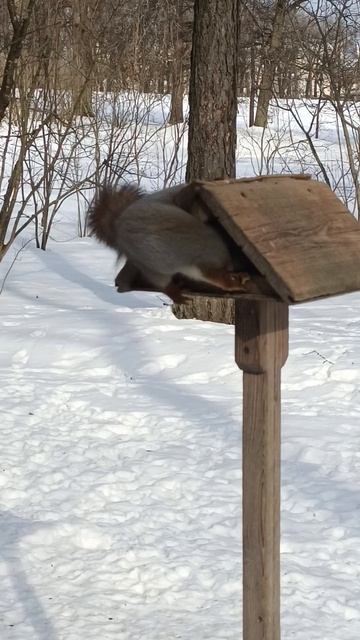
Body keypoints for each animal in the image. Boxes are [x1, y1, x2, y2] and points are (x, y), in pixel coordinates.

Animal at [87, 182, 250, 302]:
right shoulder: (206, 263)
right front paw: (236, 284)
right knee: (161, 283)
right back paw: (175, 294)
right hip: (152, 266)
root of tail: (117, 224)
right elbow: (220, 279)